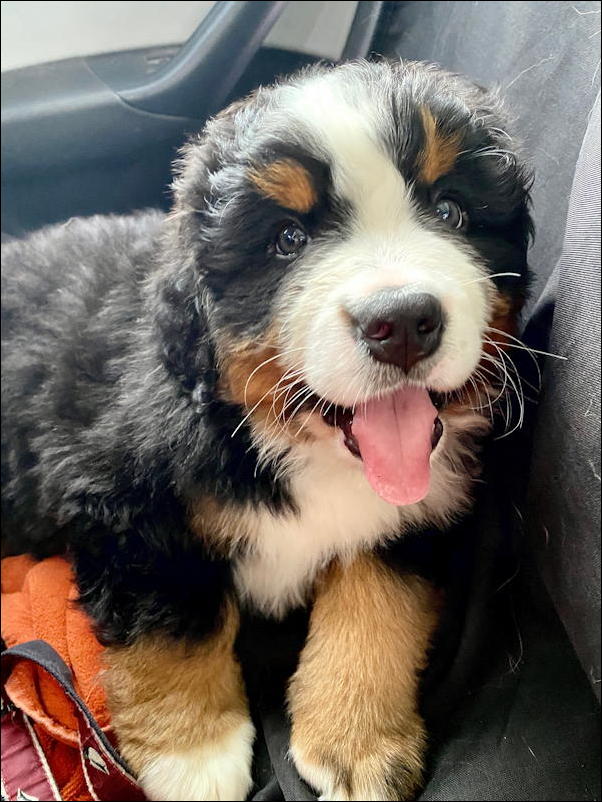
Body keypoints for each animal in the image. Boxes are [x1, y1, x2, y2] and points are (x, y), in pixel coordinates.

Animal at [3, 59, 528, 796]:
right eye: (287, 239)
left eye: (451, 209)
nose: (401, 320)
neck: (298, 442)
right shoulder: (124, 504)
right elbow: (175, 614)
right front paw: (193, 758)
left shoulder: (418, 514)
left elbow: (378, 608)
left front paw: (357, 741)